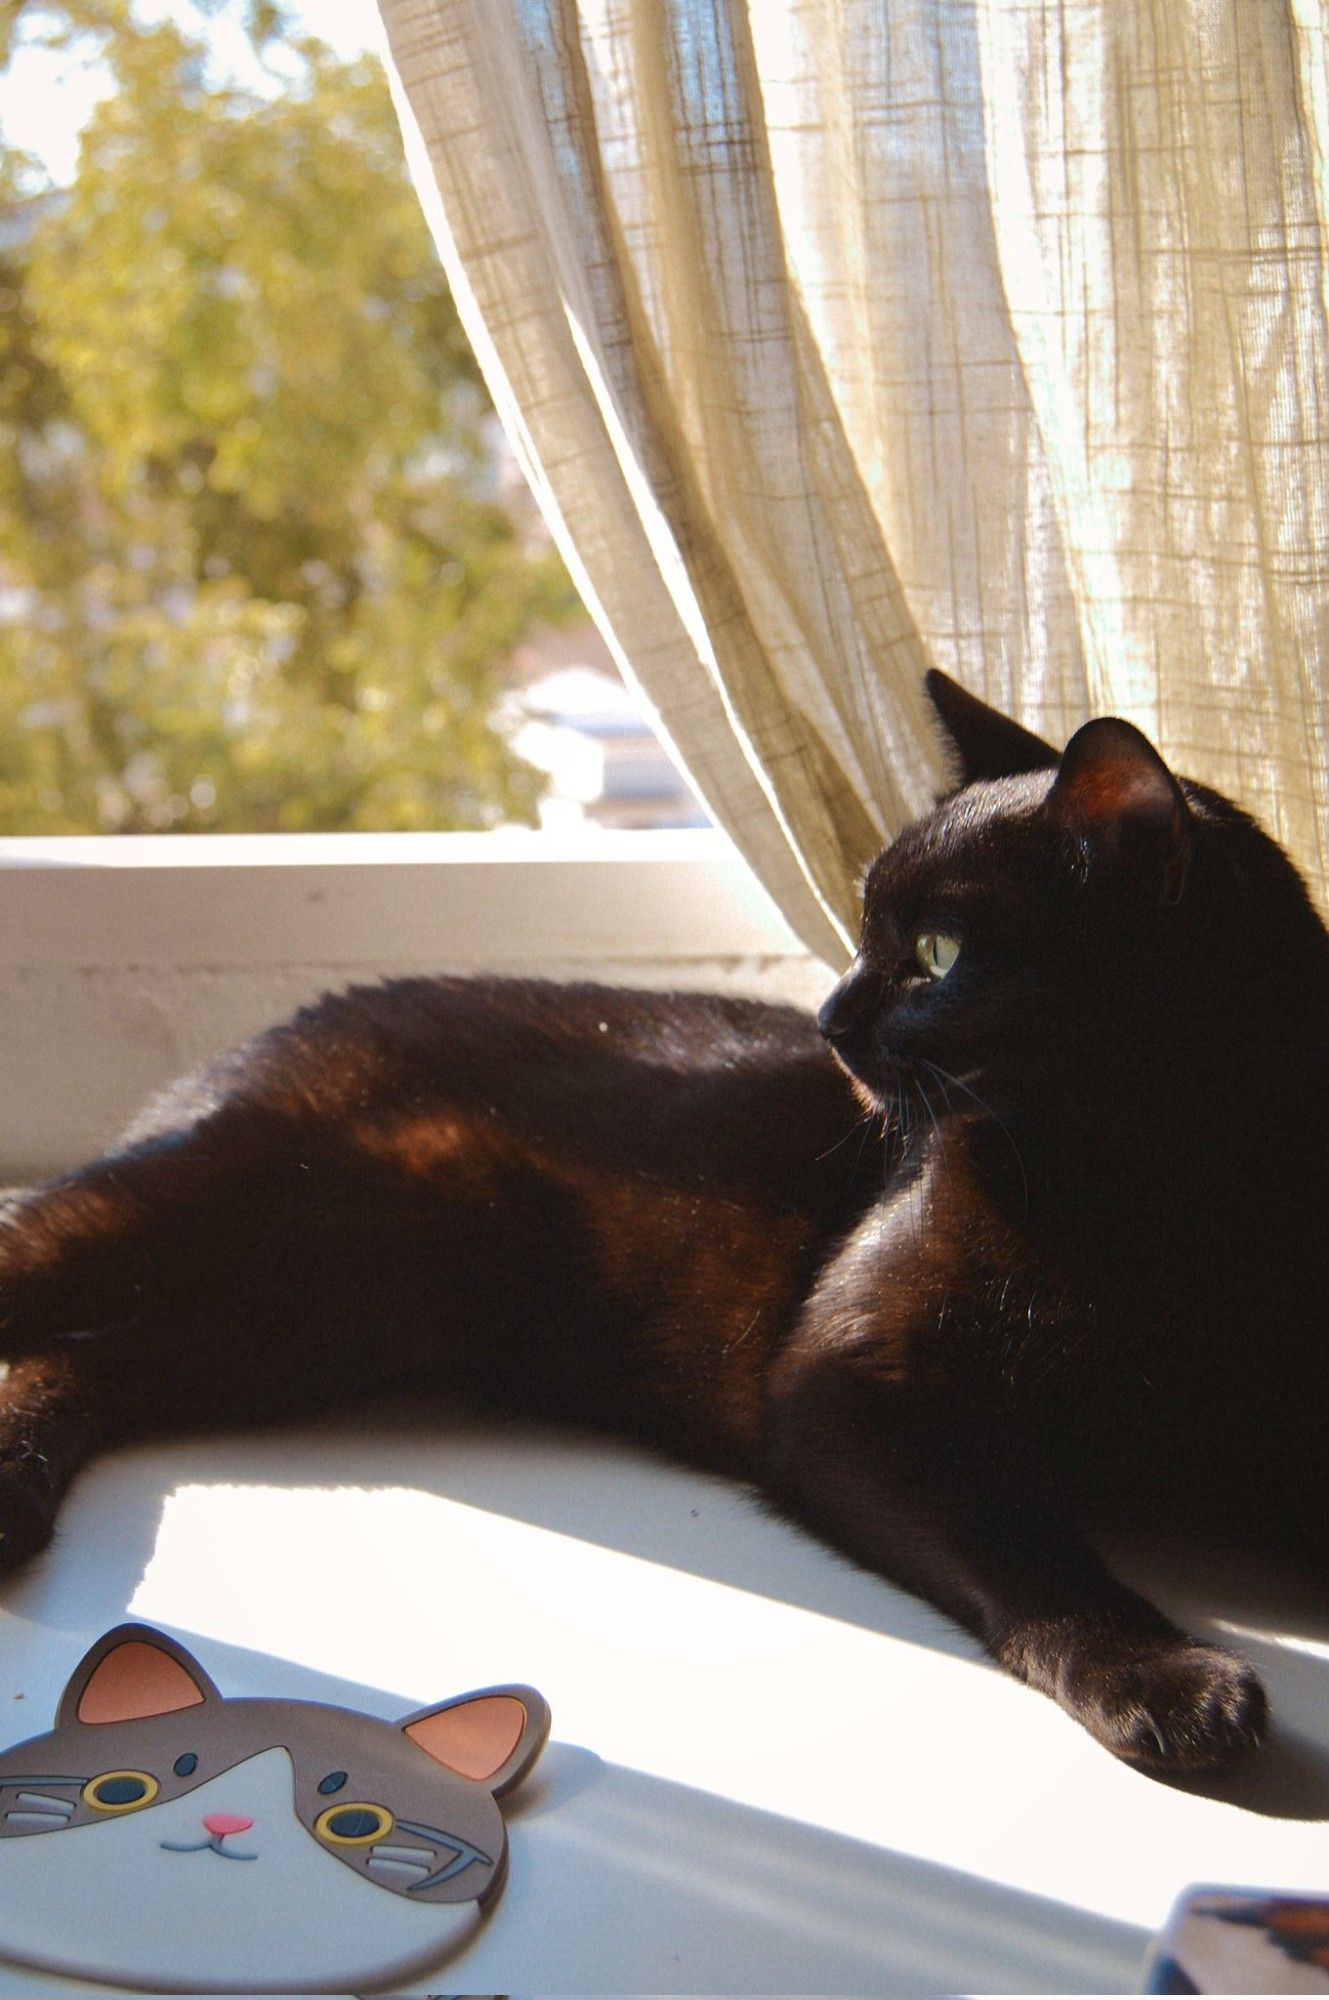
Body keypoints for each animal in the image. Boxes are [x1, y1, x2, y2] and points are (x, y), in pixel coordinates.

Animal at [2, 672, 1329, 1768]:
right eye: (868, 928)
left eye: (942, 951)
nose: (830, 1016)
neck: (1150, 1191)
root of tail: (272, 1027)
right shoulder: (856, 1374)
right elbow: (1026, 1537)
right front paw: (1163, 1675)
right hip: (195, 1230)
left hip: (287, 1319)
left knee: (85, 1363)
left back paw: (11, 1483)